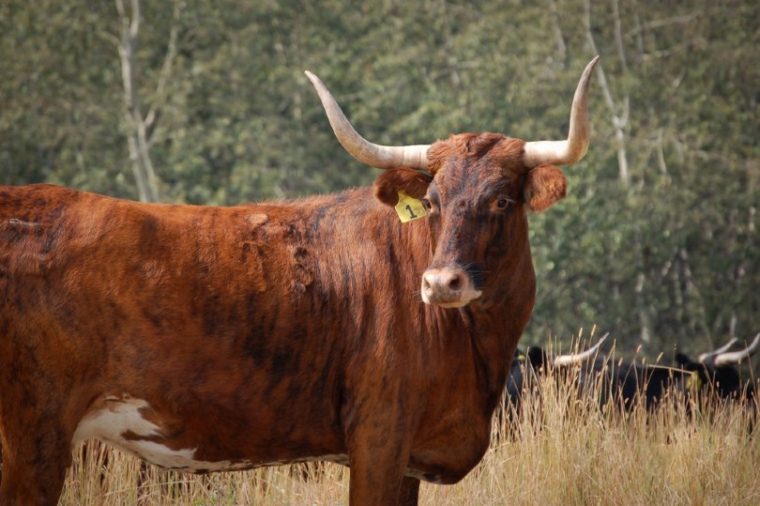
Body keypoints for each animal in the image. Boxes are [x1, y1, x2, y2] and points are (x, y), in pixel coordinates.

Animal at [0, 57, 596, 504]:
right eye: (432, 200)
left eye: (502, 200)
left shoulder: (405, 457)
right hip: (32, 438)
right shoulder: (378, 440)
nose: (440, 284)